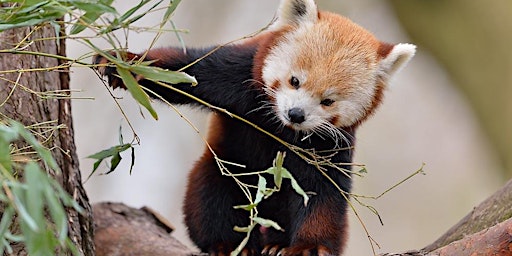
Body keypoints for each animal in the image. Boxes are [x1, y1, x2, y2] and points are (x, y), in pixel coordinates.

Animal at [95, 0, 416, 256]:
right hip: (223, 169)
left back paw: (274, 244)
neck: (279, 127)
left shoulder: (328, 147)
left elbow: (321, 195)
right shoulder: (237, 73)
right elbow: (184, 72)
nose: (296, 114)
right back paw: (227, 244)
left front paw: (308, 247)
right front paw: (124, 63)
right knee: (211, 194)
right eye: (295, 81)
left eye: (328, 101)